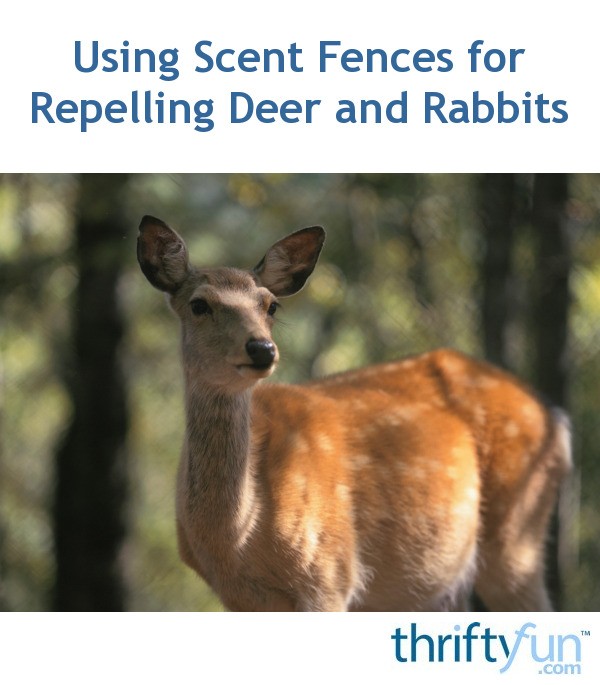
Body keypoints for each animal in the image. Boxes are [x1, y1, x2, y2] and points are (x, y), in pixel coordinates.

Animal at [137, 215, 572, 612]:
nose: (261, 349)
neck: (237, 537)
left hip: (517, 535)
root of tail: (555, 415)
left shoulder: (331, 574)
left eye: (271, 305)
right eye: (199, 304)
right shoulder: (239, 599)